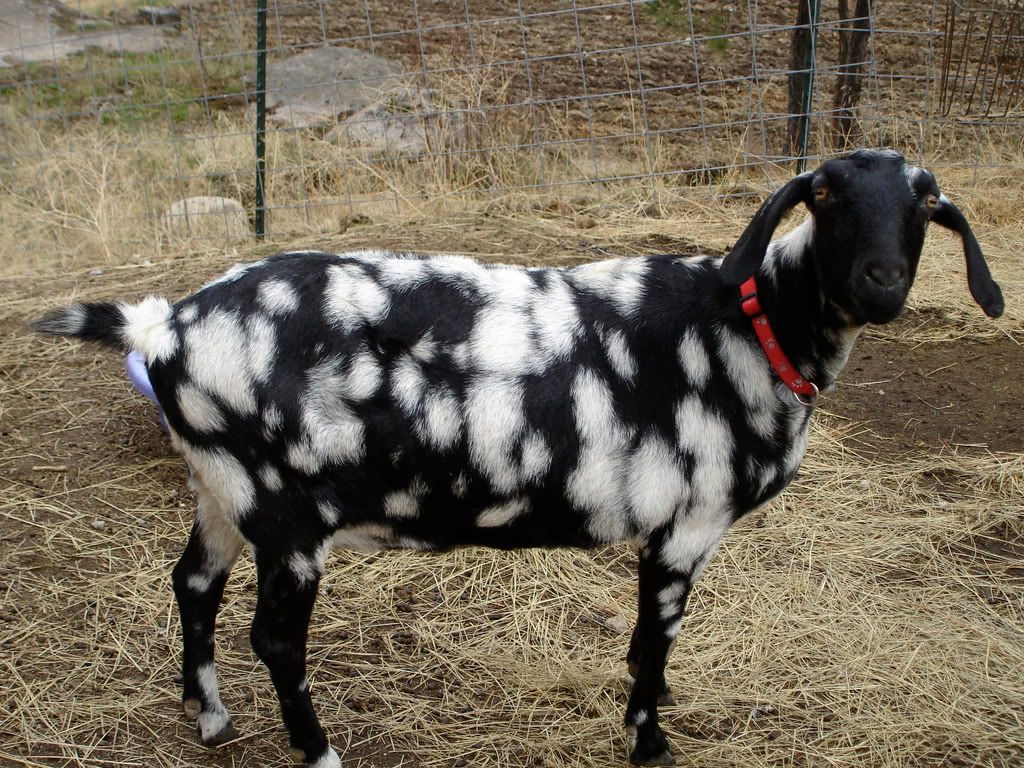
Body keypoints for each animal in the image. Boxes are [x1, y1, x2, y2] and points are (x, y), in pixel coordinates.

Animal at [34, 149, 1003, 767]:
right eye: (825, 196)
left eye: (926, 205)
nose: (882, 282)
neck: (753, 325)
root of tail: (162, 327)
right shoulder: (685, 526)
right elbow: (652, 643)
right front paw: (650, 742)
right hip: (285, 514)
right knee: (271, 636)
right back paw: (318, 751)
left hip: (220, 490)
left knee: (193, 584)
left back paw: (209, 718)